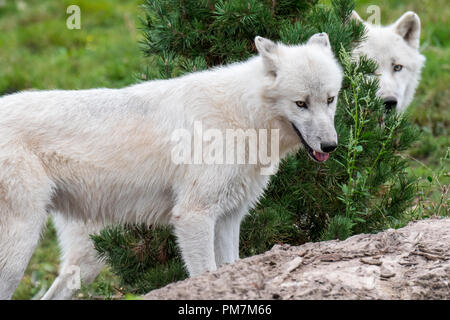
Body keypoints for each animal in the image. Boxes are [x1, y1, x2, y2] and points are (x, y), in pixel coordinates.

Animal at [0, 32, 342, 300]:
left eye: (330, 99)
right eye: (301, 103)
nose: (330, 146)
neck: (240, 116)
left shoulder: (229, 218)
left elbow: (229, 267)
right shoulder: (193, 216)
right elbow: (205, 275)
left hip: (86, 260)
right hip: (21, 249)